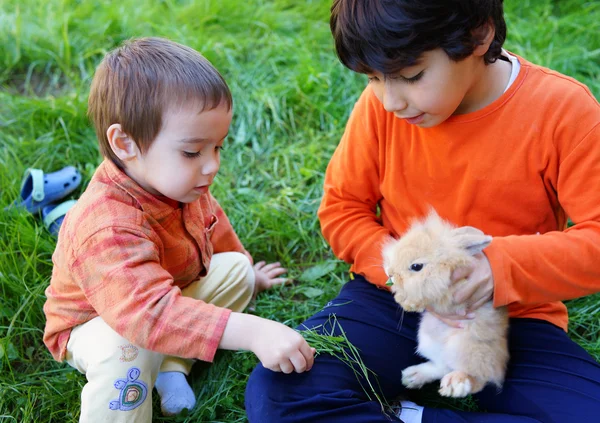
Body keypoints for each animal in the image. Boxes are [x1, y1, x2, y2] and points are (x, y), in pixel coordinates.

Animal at [384, 212, 506, 400]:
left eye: (416, 266)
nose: (390, 273)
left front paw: (407, 302)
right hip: (428, 340)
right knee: (443, 366)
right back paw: (412, 376)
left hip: (466, 347)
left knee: (479, 377)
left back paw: (456, 384)